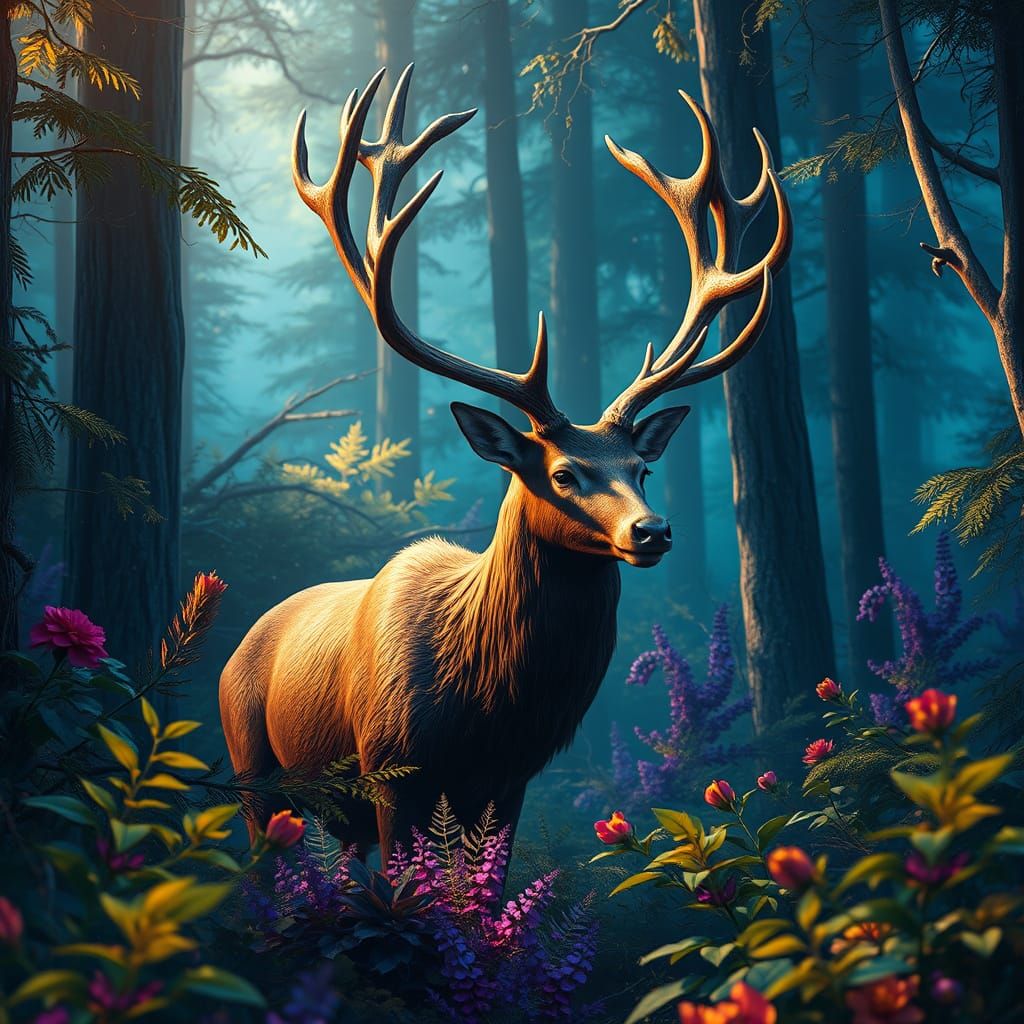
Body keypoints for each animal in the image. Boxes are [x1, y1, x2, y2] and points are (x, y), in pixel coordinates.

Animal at [219, 65, 791, 858]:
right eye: (562, 473)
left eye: (641, 469)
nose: (652, 531)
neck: (486, 712)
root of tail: (233, 649)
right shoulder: (391, 768)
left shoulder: (511, 782)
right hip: (253, 769)